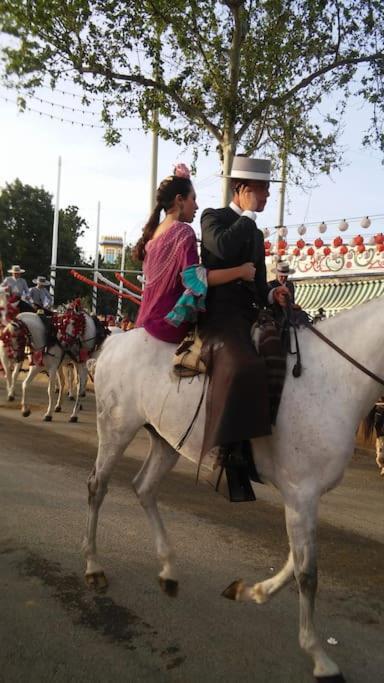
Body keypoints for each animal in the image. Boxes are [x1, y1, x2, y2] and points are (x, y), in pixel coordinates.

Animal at [82, 298, 384, 683]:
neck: (335, 378)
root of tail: (114, 341)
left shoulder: (303, 497)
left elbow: (294, 561)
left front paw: (251, 591)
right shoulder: (301, 493)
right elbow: (307, 574)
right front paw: (319, 657)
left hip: (165, 439)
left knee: (144, 488)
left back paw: (168, 570)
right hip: (116, 429)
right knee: (98, 487)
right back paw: (93, 566)